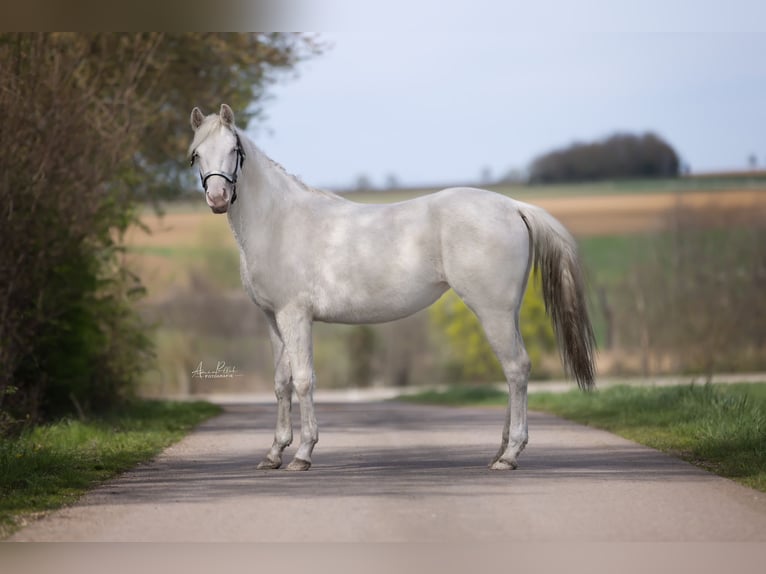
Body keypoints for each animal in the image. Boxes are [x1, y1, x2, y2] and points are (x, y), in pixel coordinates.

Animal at [189, 103, 596, 472]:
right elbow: (281, 383)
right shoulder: (273, 320)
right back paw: (499, 452)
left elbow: (304, 381)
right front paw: (274, 453)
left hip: (492, 311)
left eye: (234, 149)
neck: (279, 222)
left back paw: (510, 455)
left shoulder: (296, 316)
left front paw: (303, 454)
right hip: (507, 312)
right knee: (512, 371)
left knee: (516, 368)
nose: (217, 199)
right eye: (196, 154)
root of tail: (513, 206)